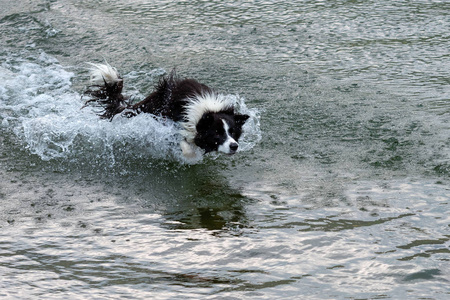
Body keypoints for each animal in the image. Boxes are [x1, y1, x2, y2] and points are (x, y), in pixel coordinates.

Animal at [84, 62, 250, 158]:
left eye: (233, 132)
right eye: (217, 133)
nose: (234, 146)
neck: (206, 110)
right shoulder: (172, 122)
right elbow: (185, 146)